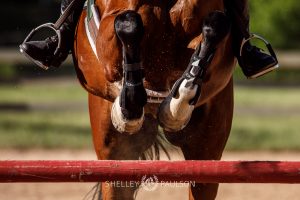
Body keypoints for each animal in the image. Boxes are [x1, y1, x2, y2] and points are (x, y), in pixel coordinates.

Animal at [72, 0, 234, 200]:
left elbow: (215, 25)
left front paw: (179, 102)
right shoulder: (107, 35)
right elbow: (128, 23)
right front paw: (129, 105)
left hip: (206, 152)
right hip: (114, 153)